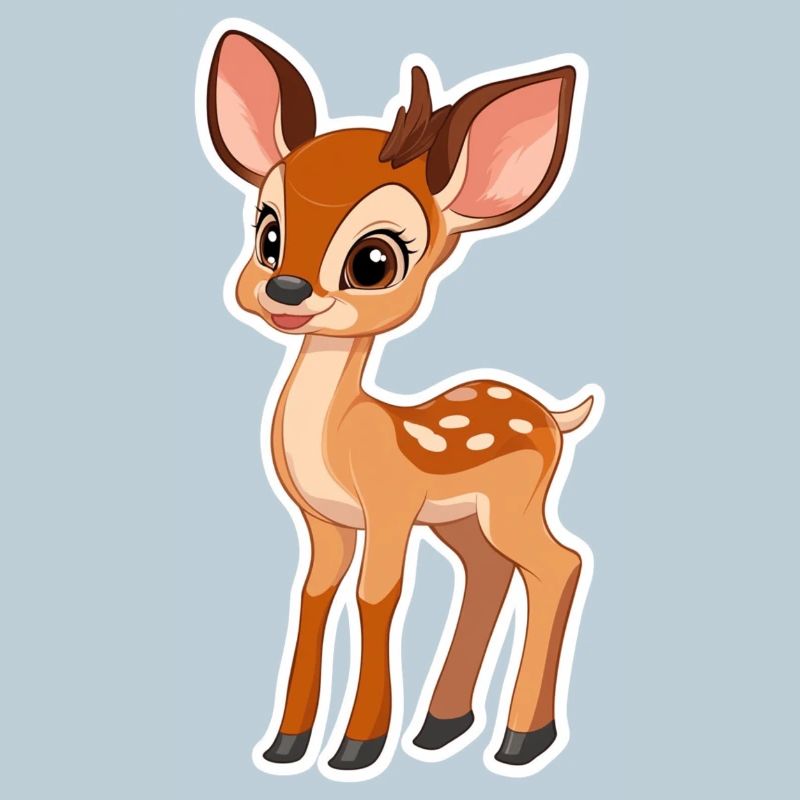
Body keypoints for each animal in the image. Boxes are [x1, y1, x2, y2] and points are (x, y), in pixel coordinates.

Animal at [198, 23, 601, 778]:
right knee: (490, 571)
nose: (287, 291)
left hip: (513, 503)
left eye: (375, 260)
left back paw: (520, 740)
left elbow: (376, 597)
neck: (339, 434)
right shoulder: (325, 523)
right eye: (269, 232)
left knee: (560, 563)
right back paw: (442, 727)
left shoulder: (388, 508)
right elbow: (314, 599)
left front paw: (356, 748)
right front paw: (287, 744)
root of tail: (552, 416)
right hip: (464, 520)